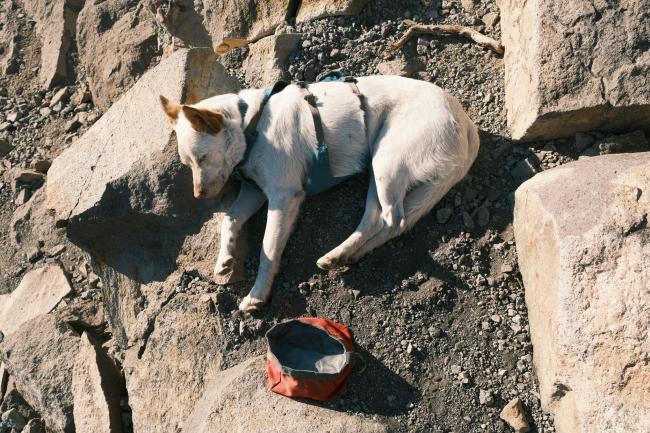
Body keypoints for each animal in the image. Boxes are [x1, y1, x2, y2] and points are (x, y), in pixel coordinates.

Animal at [159, 74, 478, 310]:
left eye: (202, 158)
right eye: (188, 163)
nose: (199, 195)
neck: (251, 121)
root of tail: (466, 123)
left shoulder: (283, 197)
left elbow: (267, 250)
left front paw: (258, 295)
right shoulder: (255, 191)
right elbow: (229, 219)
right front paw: (224, 260)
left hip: (388, 159)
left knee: (393, 219)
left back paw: (346, 253)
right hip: (377, 171)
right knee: (376, 220)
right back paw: (341, 255)